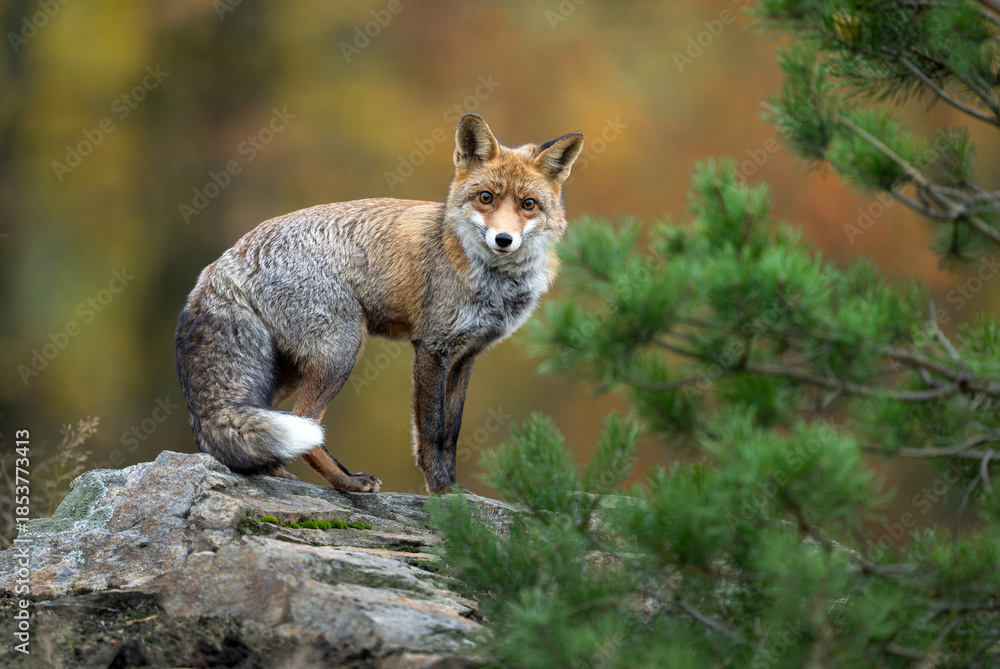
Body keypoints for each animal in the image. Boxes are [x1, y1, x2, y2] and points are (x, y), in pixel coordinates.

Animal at [174, 114, 584, 493]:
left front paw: (452, 488)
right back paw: (346, 481)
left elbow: (451, 433)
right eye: (487, 198)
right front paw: (440, 490)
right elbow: (431, 432)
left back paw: (270, 470)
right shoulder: (433, 349)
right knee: (305, 422)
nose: (503, 239)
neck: (492, 281)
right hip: (339, 352)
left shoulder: (466, 356)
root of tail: (227, 258)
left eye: (528, 205)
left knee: (265, 424)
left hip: (287, 370)